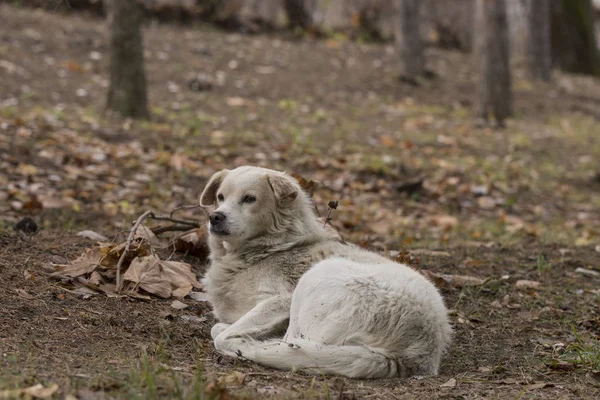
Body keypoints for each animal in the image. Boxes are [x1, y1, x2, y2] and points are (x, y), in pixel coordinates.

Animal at [200, 166, 450, 378]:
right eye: (220, 197)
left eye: (249, 199)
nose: (215, 217)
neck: (271, 248)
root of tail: (414, 355)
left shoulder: (281, 299)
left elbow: (221, 332)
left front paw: (239, 334)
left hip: (316, 276)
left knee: (287, 341)